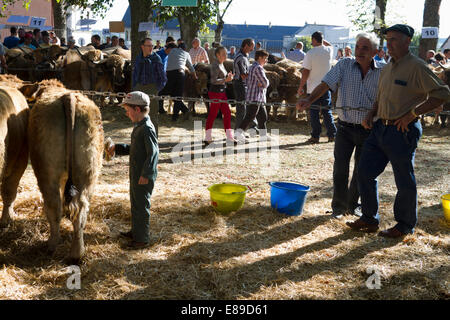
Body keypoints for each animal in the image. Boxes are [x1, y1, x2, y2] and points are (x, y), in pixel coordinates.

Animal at [20, 80, 103, 262]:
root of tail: (68, 96)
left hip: (47, 173)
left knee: (54, 205)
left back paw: (52, 245)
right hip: (88, 172)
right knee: (81, 209)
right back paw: (77, 253)